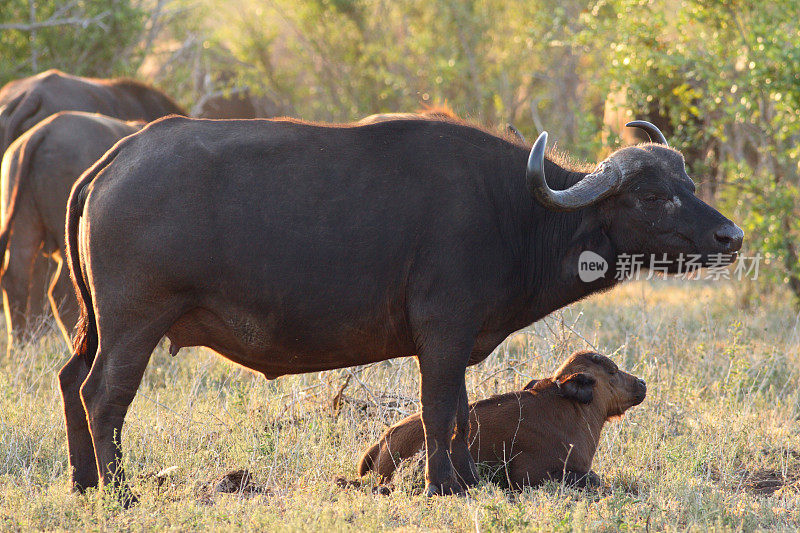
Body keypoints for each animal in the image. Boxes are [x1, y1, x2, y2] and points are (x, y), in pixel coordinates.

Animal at [0, 111, 142, 350]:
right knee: (62, 292)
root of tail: (43, 131)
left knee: (15, 277)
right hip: (67, 241)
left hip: (23, 225)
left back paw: (19, 344)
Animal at [360, 350, 648, 490]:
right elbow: (593, 478)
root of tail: (383, 441)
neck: (571, 407)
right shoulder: (529, 475)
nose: (642, 383)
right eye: (611, 371)